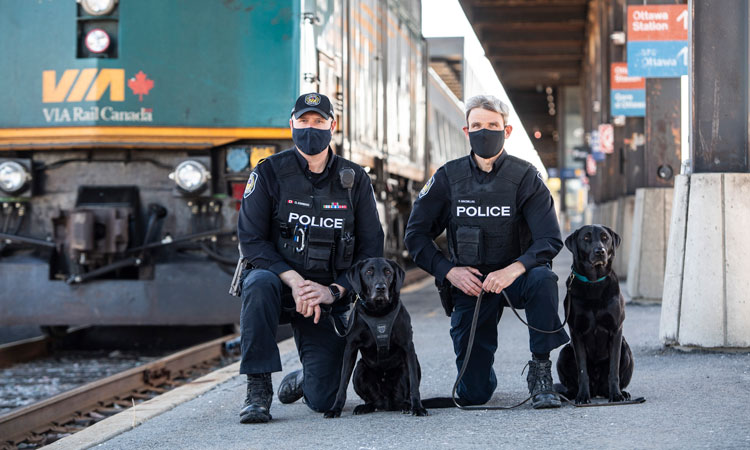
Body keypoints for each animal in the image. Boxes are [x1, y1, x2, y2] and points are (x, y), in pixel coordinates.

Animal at [324, 256, 428, 418]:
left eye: (388, 272)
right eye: (368, 272)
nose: (381, 288)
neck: (378, 312)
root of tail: (387, 403)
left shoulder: (408, 346)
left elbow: (414, 384)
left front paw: (417, 407)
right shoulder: (351, 348)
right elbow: (342, 384)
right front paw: (335, 409)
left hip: (411, 363)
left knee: (404, 395)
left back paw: (406, 405)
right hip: (359, 368)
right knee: (370, 401)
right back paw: (365, 407)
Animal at [560, 225, 636, 404]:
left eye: (605, 238)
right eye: (586, 238)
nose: (600, 251)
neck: (593, 282)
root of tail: (596, 390)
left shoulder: (616, 330)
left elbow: (613, 369)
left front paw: (616, 395)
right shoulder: (576, 332)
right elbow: (582, 370)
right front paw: (582, 396)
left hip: (626, 348)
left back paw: (621, 393)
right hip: (564, 352)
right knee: (572, 383)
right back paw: (570, 394)